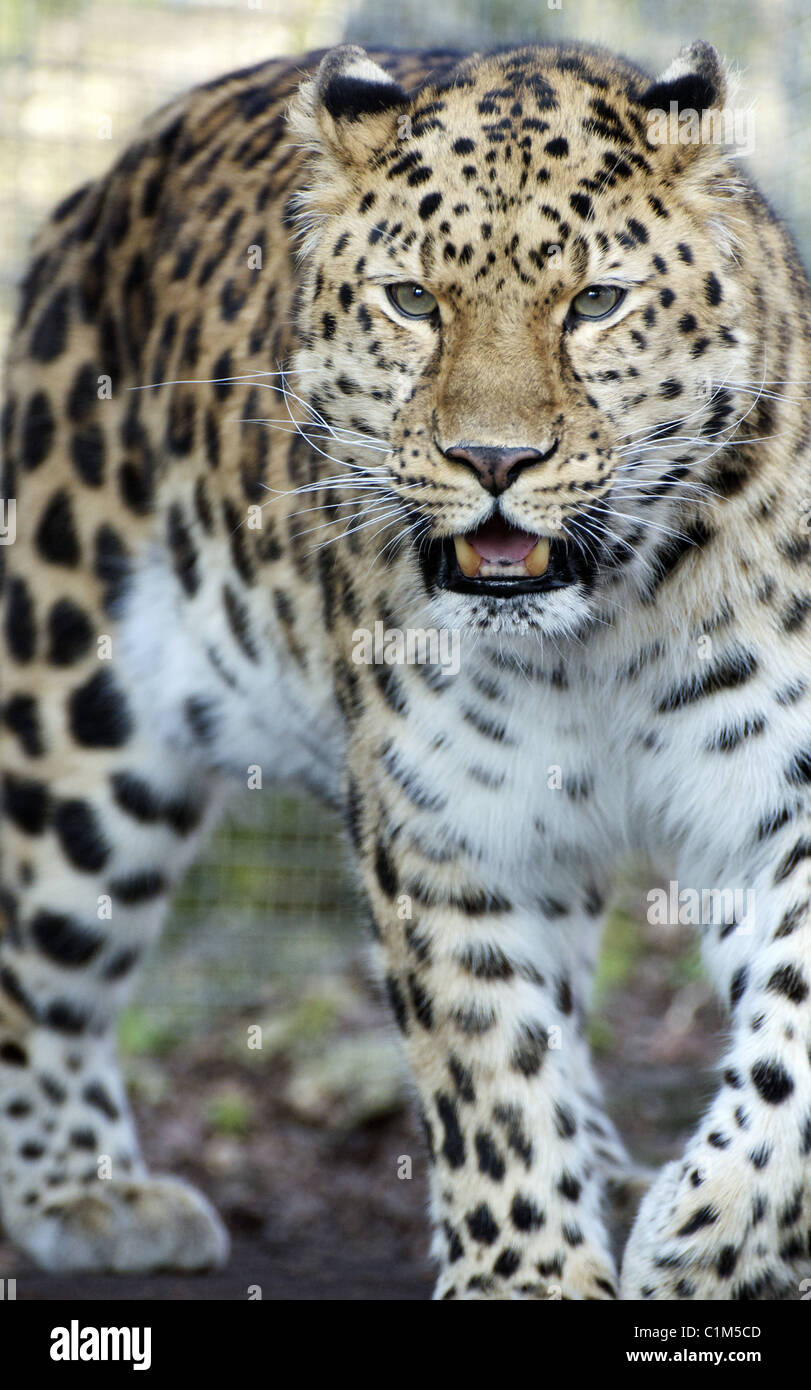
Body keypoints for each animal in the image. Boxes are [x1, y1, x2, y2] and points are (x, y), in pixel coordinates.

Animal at [1, 36, 810, 1301]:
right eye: (413, 301)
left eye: (594, 302)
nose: (493, 459)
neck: (595, 632)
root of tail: (96, 189)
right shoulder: (446, 826)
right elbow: (486, 1072)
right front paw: (528, 1276)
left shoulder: (775, 791)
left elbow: (789, 1044)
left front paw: (709, 1240)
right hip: (72, 720)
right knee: (37, 963)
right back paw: (81, 1191)